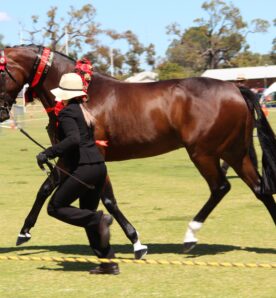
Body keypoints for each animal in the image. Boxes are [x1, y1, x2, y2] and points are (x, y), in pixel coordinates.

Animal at [0, 44, 276, 256]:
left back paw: (190, 236)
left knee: (221, 187)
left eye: (2, 72)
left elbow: (108, 200)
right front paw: (24, 232)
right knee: (260, 189)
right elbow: (46, 188)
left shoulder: (95, 155)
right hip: (234, 152)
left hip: (204, 153)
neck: (81, 96)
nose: (3, 112)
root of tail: (235, 88)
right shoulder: (70, 156)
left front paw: (136, 243)